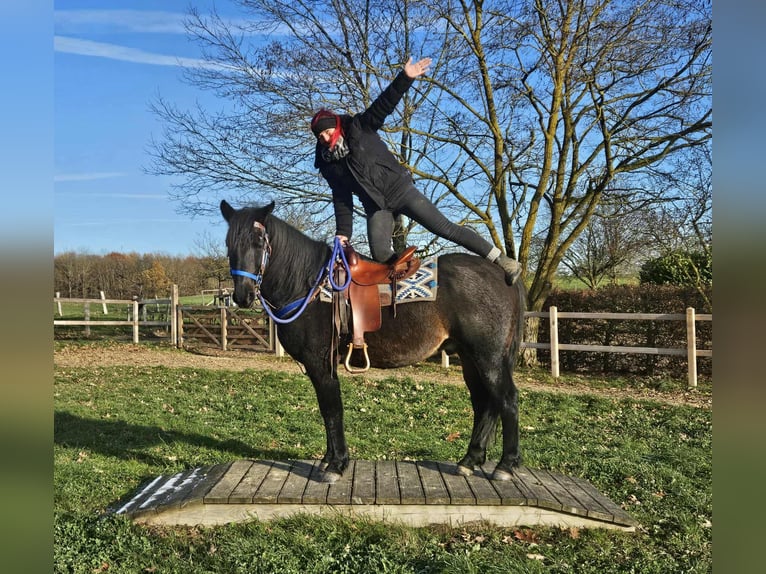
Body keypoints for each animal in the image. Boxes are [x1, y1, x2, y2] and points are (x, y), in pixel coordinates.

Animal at [221, 200, 526, 483]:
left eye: (259, 241)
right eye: (229, 244)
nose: (243, 296)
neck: (310, 285)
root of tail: (502, 275)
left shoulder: (321, 363)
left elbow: (332, 410)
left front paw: (336, 464)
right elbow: (327, 411)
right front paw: (328, 459)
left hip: (489, 358)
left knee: (507, 400)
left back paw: (506, 465)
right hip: (470, 359)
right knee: (485, 404)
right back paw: (470, 459)